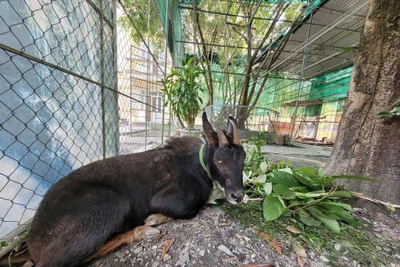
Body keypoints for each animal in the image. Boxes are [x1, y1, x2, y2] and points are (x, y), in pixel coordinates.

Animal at [26, 112, 245, 266]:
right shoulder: (167, 200)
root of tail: (33, 241)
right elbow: (191, 210)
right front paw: (154, 219)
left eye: (243, 157)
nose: (238, 196)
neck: (197, 166)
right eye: (219, 159)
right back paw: (143, 231)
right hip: (111, 206)